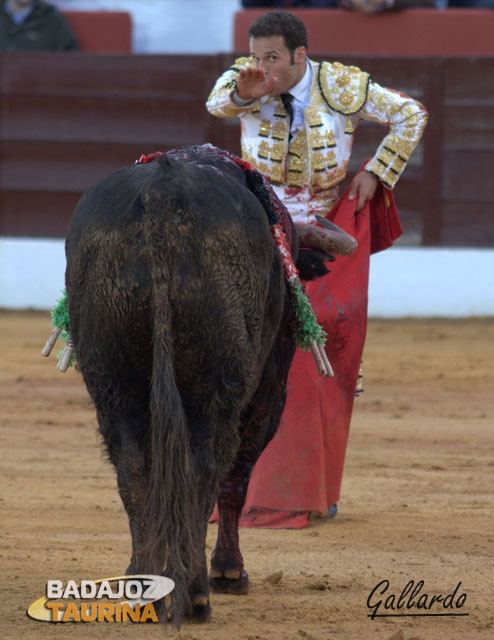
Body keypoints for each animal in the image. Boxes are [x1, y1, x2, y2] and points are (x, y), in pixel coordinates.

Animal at [63, 144, 330, 624]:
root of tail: (162, 191)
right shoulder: (268, 390)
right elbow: (237, 476)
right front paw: (230, 572)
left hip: (112, 382)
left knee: (133, 465)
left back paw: (144, 582)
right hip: (219, 389)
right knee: (207, 468)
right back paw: (196, 593)